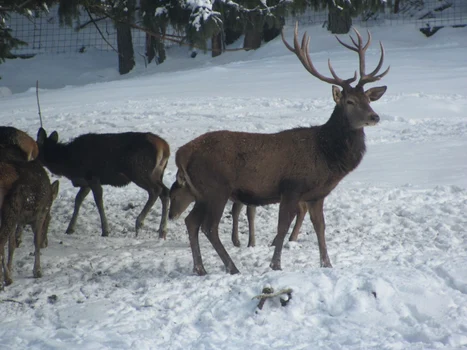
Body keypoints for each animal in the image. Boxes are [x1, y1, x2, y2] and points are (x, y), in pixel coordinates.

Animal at [0, 145, 59, 288]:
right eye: (49, 218)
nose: (46, 243)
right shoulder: (40, 213)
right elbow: (35, 241)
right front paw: (37, 271)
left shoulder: (18, 218)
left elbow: (12, 245)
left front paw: (9, 272)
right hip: (10, 210)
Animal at [35, 129, 170, 238]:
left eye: (36, 147)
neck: (68, 164)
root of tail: (165, 147)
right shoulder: (85, 183)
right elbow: (78, 200)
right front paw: (70, 229)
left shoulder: (92, 177)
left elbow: (98, 201)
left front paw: (105, 230)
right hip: (156, 173)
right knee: (165, 191)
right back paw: (162, 230)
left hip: (138, 170)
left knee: (155, 190)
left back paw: (139, 222)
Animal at [170, 23, 390, 276]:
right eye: (349, 102)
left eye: (368, 99)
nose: (375, 117)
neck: (326, 156)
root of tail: (181, 153)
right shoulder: (291, 187)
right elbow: (282, 227)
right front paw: (276, 264)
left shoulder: (316, 195)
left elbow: (320, 227)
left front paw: (327, 263)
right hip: (216, 188)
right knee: (209, 226)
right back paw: (232, 267)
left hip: (200, 192)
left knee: (191, 222)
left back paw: (200, 268)